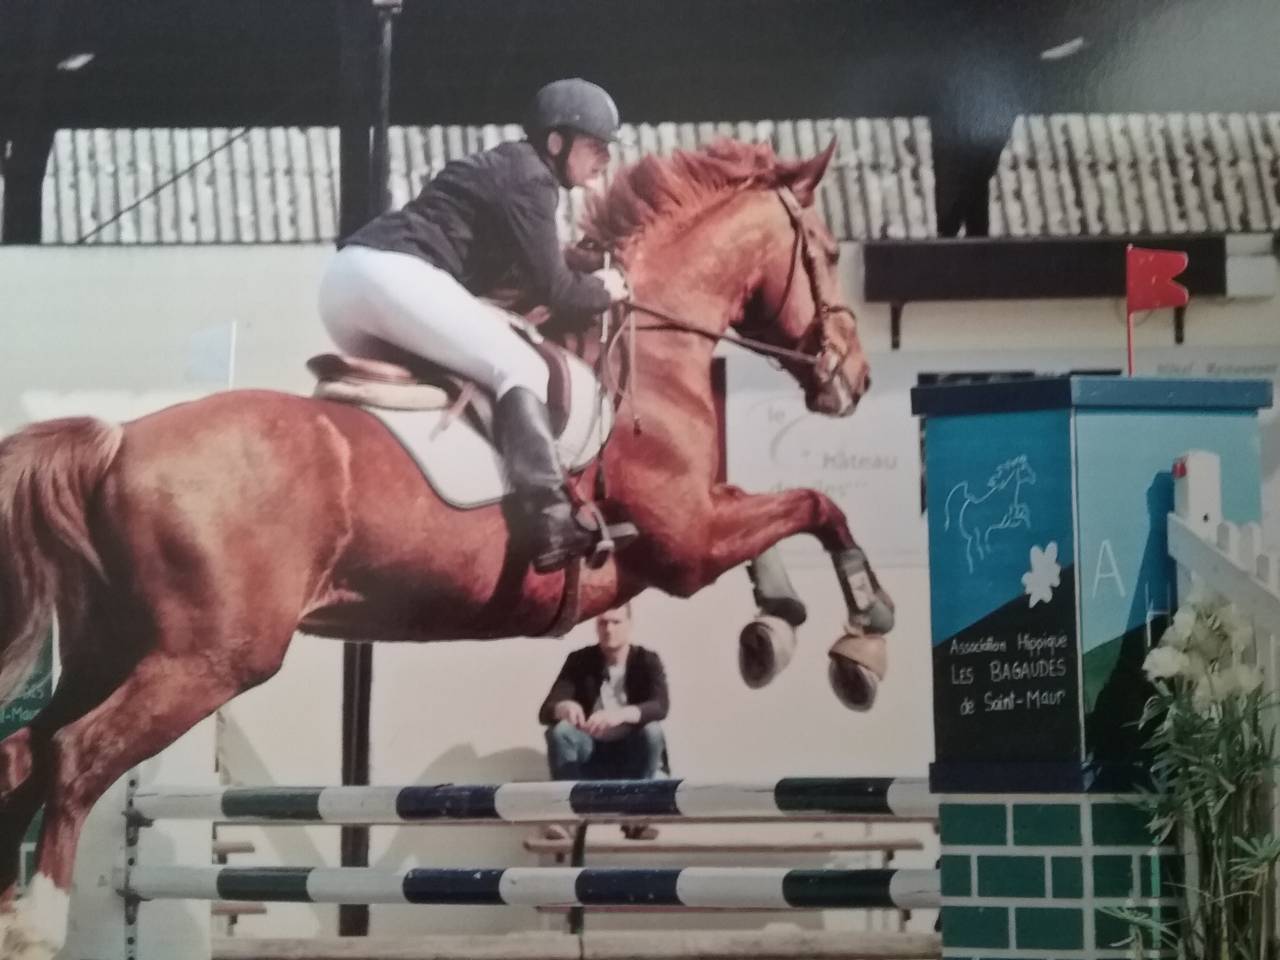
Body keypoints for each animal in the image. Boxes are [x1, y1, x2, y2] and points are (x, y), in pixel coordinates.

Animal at [0, 138, 893, 953]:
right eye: (828, 252)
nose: (854, 379)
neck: (649, 354)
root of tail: (118, 440)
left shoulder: (695, 527)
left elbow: (781, 515)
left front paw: (776, 621)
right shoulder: (685, 544)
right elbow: (816, 506)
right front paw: (860, 642)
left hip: (114, 647)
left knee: (27, 749)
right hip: (209, 659)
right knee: (75, 756)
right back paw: (39, 921)